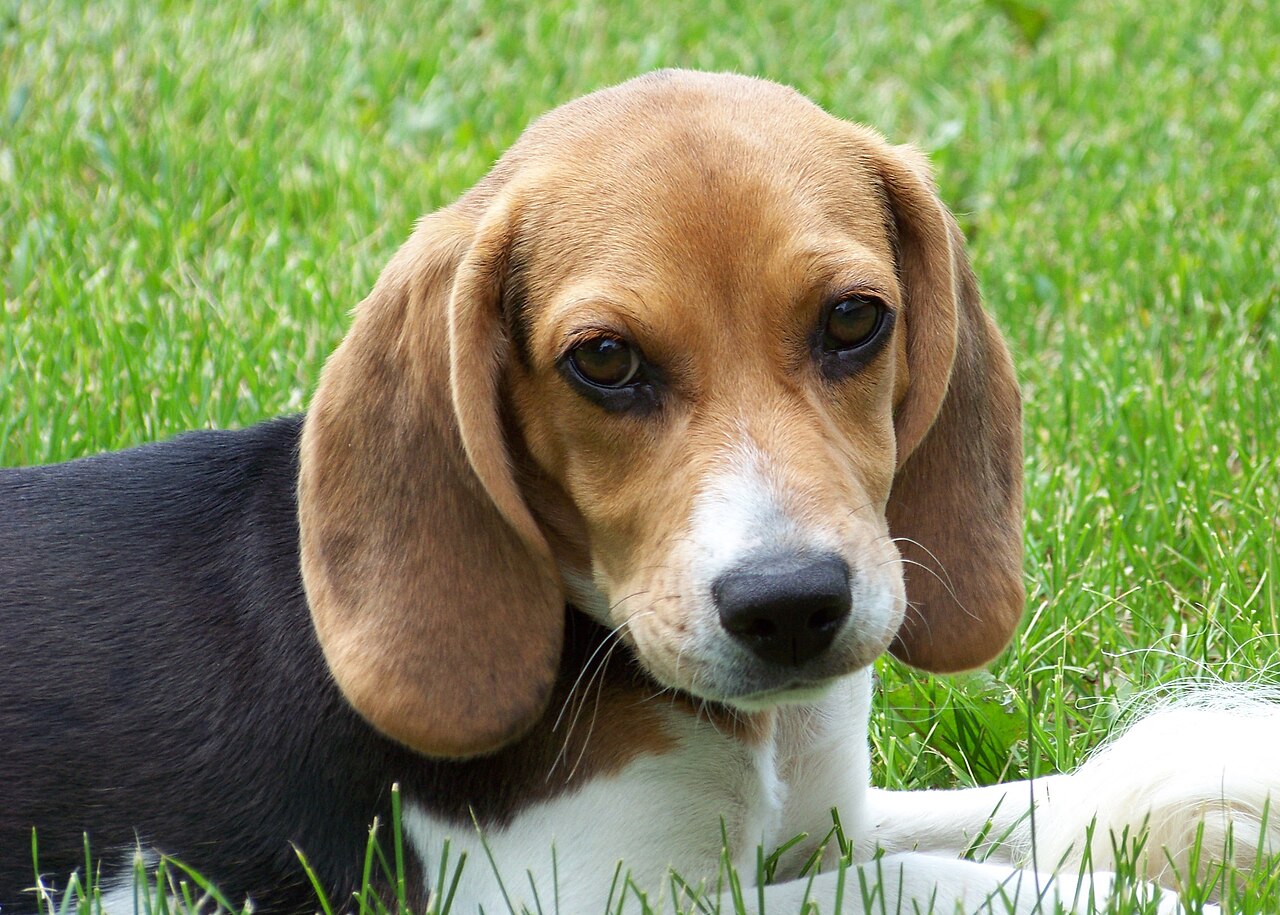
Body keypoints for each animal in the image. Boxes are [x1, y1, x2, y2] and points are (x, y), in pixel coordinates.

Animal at [2, 71, 1269, 915]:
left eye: (853, 320)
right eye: (603, 361)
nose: (789, 605)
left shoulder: (822, 822)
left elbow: (1010, 808)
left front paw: (1213, 793)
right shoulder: (599, 894)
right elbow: (926, 881)